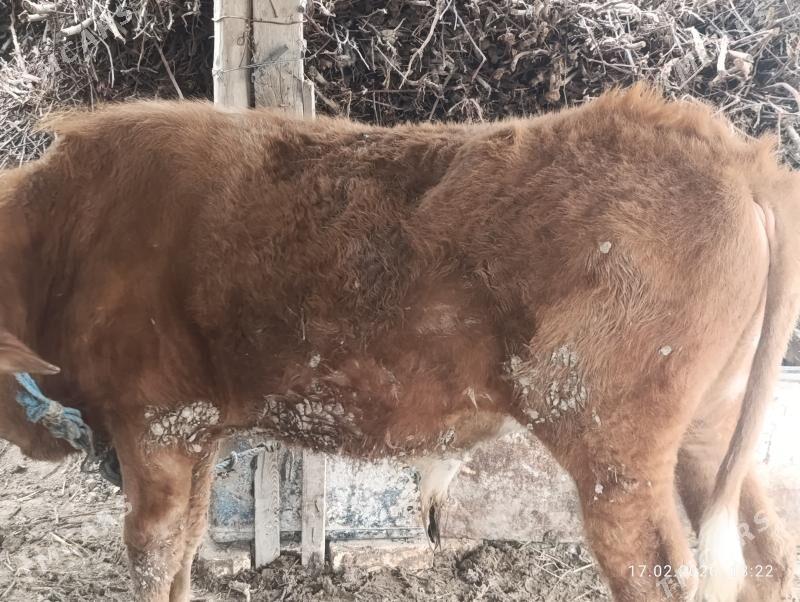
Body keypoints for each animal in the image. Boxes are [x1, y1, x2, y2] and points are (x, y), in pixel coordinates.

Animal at [0, 84, 797, 602]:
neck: (65, 234)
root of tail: (724, 150)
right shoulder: (197, 433)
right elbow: (186, 551)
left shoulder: (156, 425)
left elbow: (153, 554)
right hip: (710, 427)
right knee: (765, 555)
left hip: (614, 451)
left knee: (664, 573)